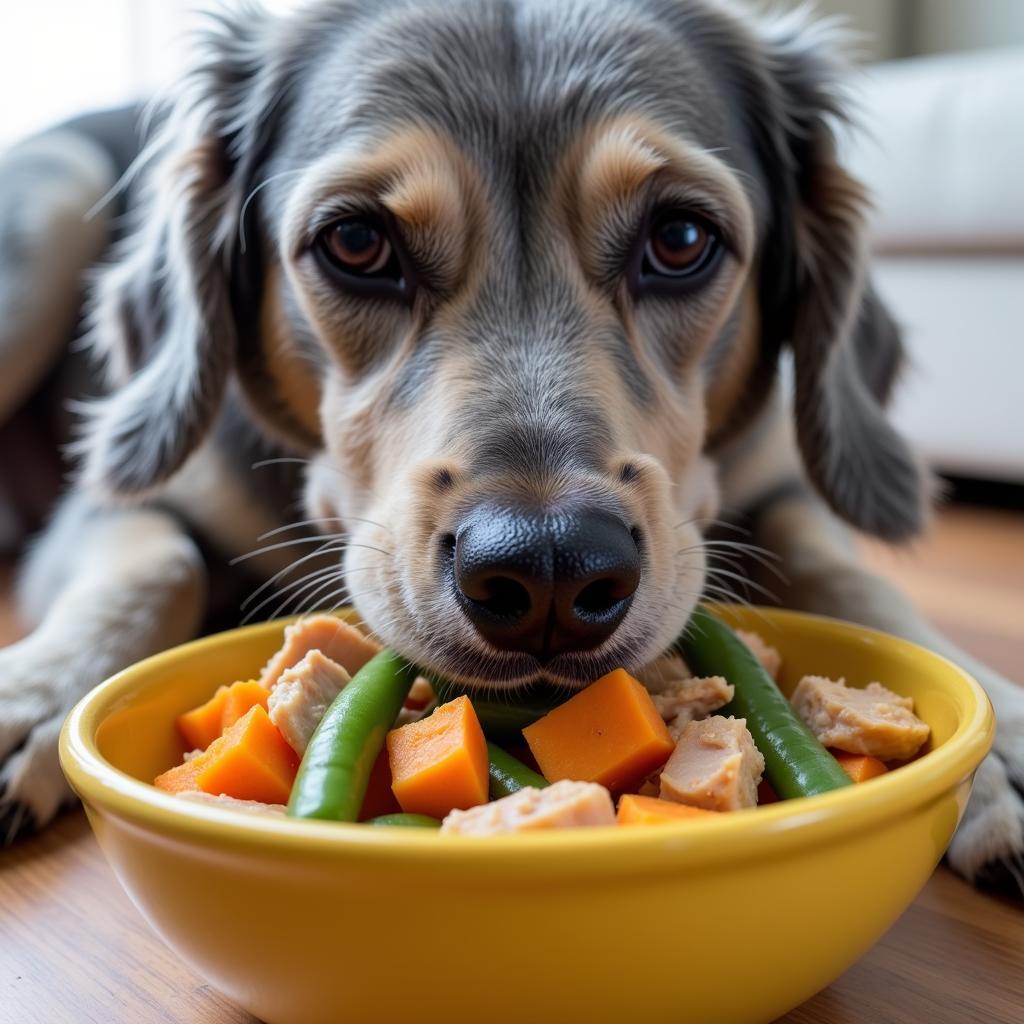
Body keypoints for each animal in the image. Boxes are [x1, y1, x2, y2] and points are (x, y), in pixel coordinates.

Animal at [0, 0, 1019, 892]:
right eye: (357, 242)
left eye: (682, 238)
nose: (551, 575)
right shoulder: (126, 497)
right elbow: (157, 566)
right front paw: (35, 694)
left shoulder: (786, 485)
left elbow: (844, 573)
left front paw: (999, 733)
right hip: (46, 209)